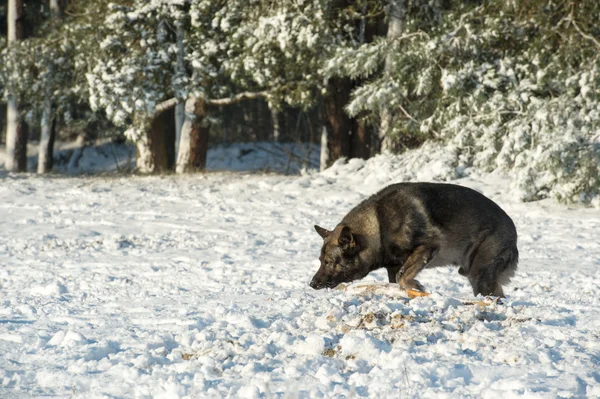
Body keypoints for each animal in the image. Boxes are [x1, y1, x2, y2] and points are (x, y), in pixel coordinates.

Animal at [312, 183, 516, 298]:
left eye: (328, 262)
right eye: (321, 261)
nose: (312, 284)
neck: (380, 225)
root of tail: (513, 229)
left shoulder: (428, 246)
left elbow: (403, 276)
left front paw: (416, 287)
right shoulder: (393, 266)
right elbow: (396, 279)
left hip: (481, 275)